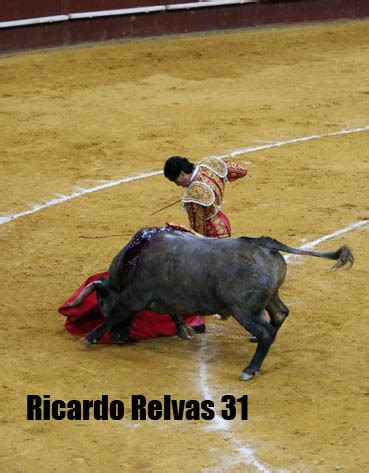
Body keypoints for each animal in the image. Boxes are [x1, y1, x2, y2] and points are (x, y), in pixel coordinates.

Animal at [69, 227, 354, 382]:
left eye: (102, 304)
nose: (119, 339)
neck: (135, 259)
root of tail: (264, 243)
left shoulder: (135, 297)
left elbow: (115, 316)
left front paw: (89, 337)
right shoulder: (167, 295)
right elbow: (174, 312)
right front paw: (184, 330)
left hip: (243, 309)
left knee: (266, 331)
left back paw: (249, 369)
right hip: (271, 297)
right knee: (279, 315)